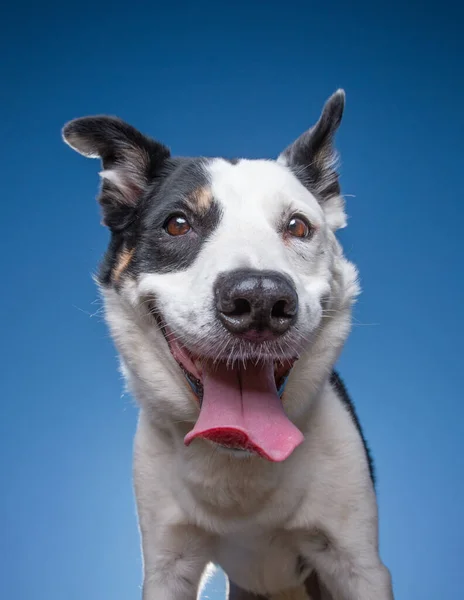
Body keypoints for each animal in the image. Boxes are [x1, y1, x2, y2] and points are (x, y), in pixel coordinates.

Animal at [61, 90, 394, 600]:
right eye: (177, 224)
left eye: (298, 227)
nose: (259, 300)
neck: (239, 461)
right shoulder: (169, 563)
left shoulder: (357, 564)